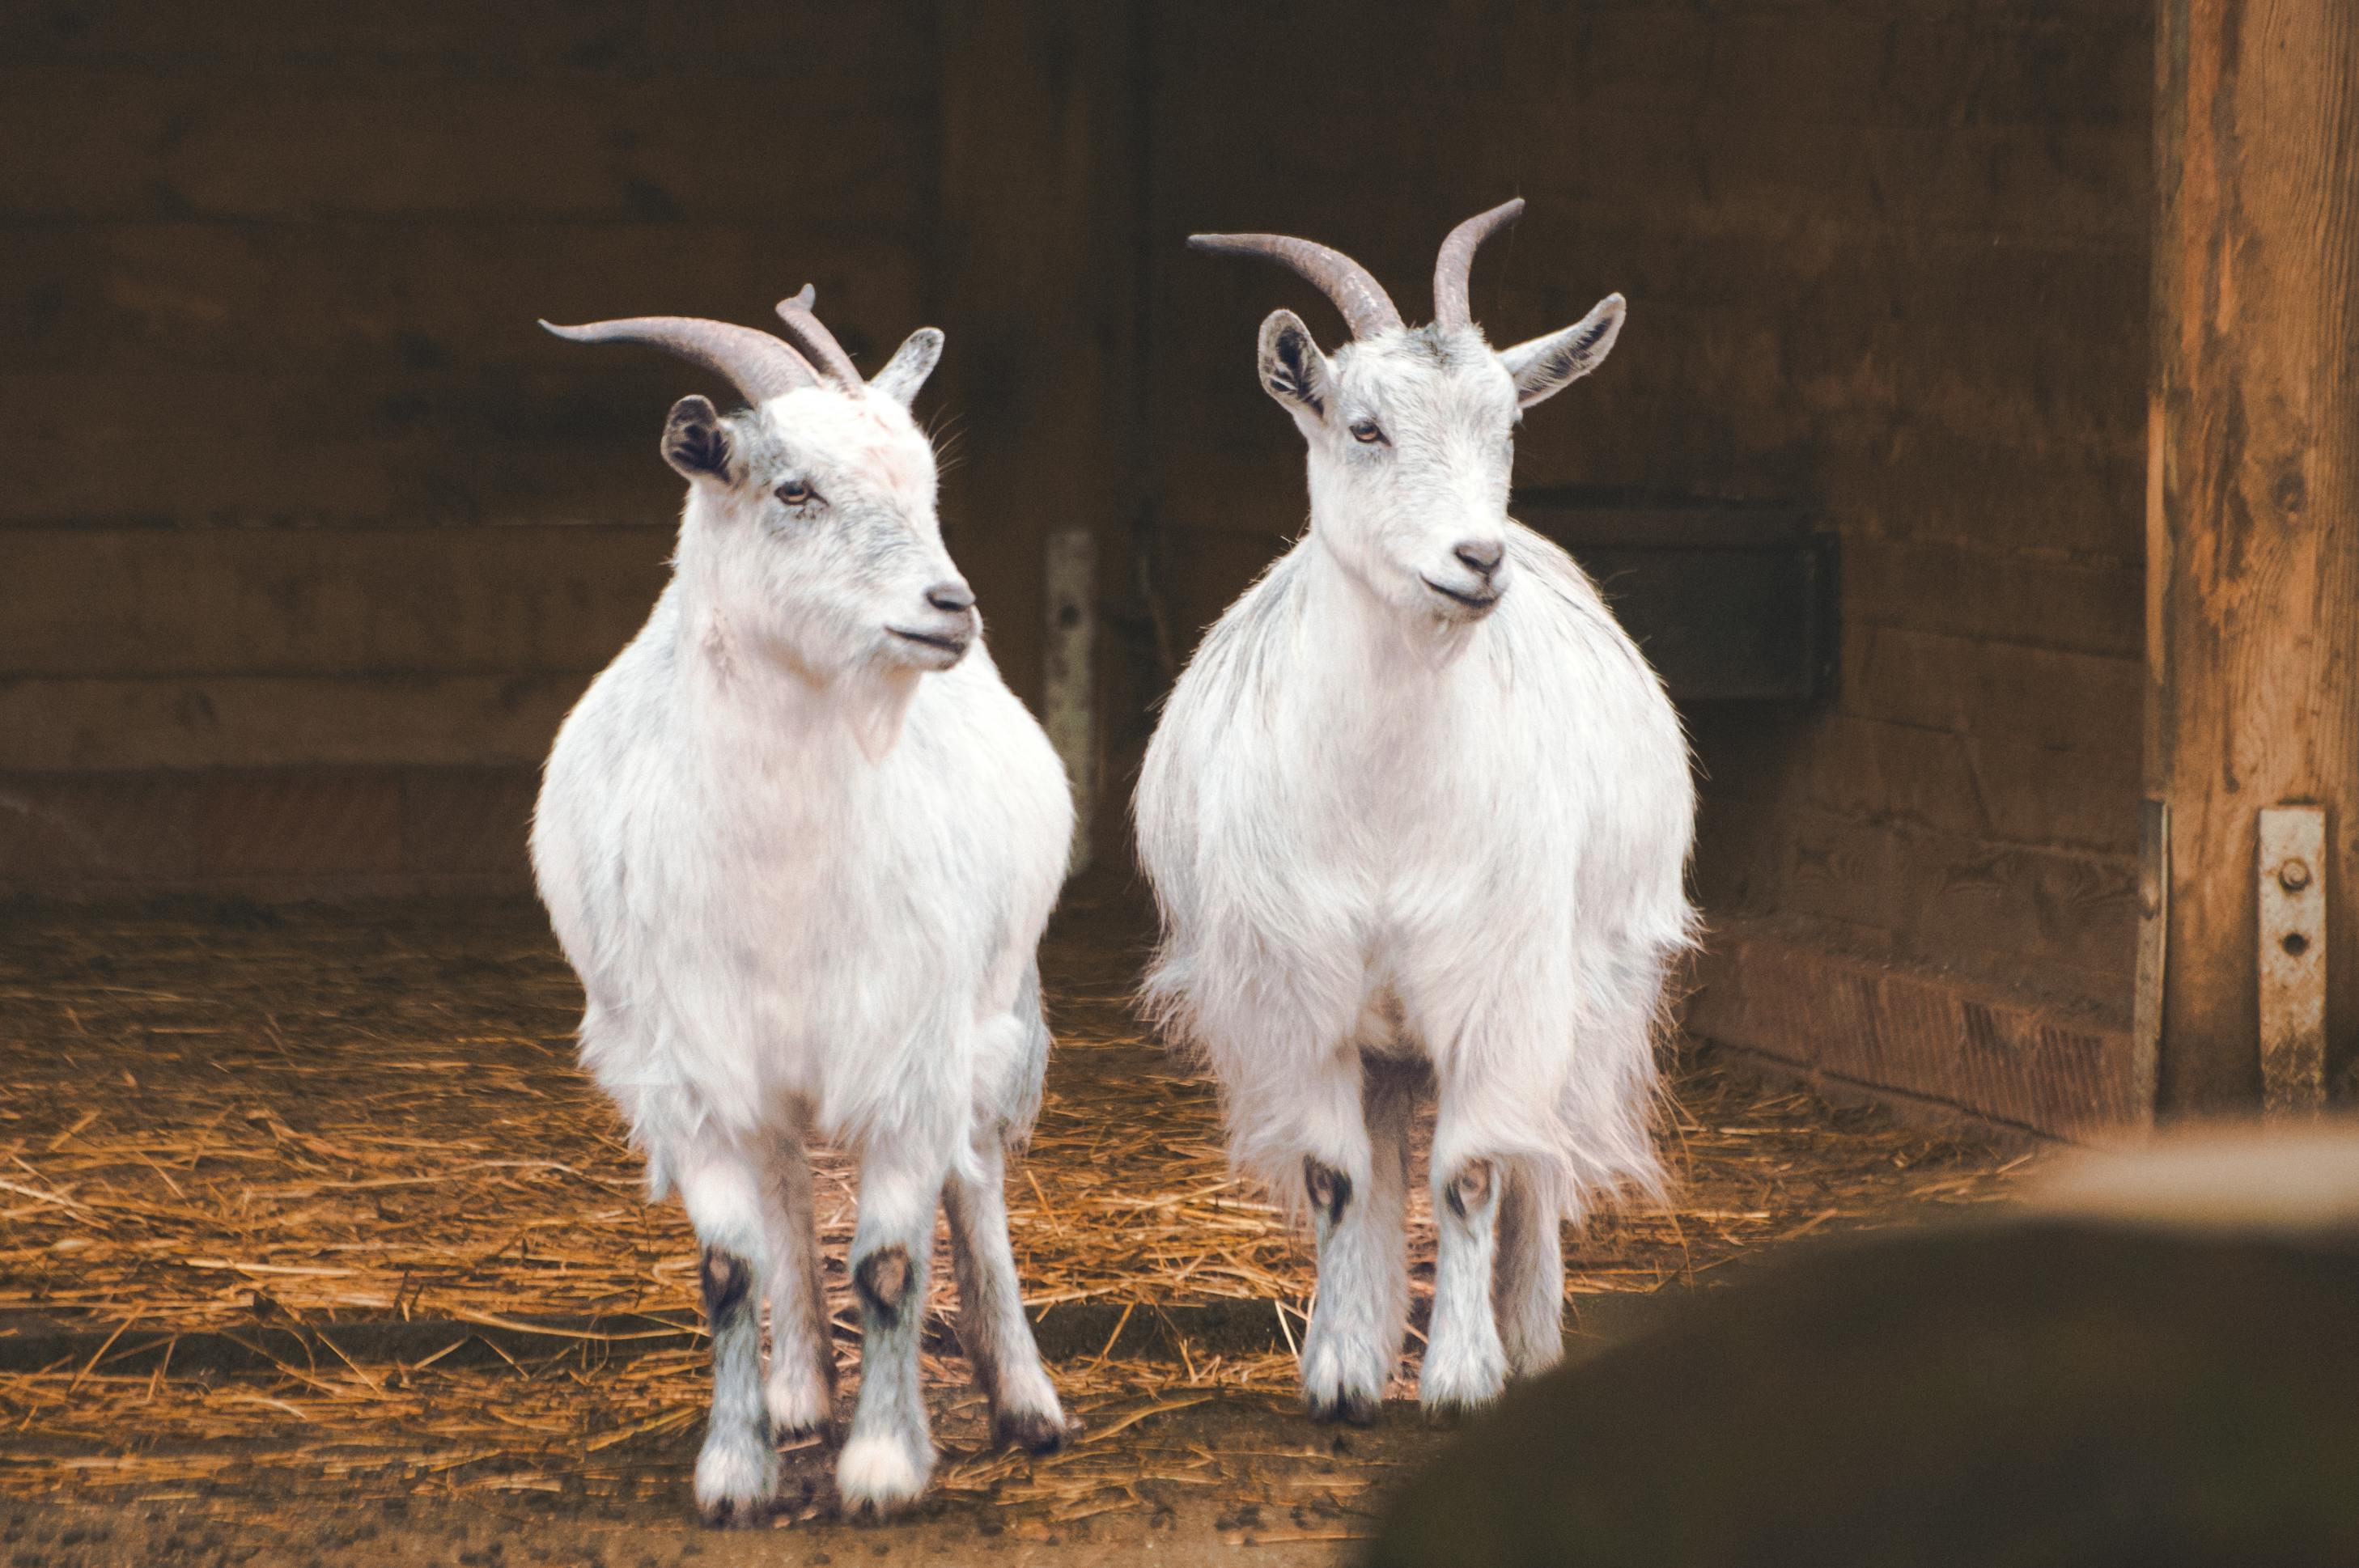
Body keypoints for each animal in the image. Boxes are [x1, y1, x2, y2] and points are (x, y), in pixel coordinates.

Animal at [531, 292, 1073, 1523]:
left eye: (924, 485)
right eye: (793, 491)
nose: (948, 605)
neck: (780, 872)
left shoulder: (912, 1049)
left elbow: (889, 1261)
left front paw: (883, 1467)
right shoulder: (690, 1067)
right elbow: (730, 1266)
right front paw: (735, 1471)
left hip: (995, 1011)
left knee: (977, 1185)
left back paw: (1022, 1397)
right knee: (783, 1192)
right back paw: (796, 1394)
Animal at [1135, 201, 1696, 1421]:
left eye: (1507, 426)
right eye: (1364, 427)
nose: (1475, 558)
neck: (1388, 806)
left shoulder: (1498, 982)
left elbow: (1474, 1170)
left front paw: (1464, 1373)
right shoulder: (1297, 990)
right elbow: (1340, 1176)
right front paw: (1342, 1369)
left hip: (1583, 986)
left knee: (1538, 1151)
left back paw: (1528, 1329)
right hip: (1385, 1030)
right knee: (1388, 1149)